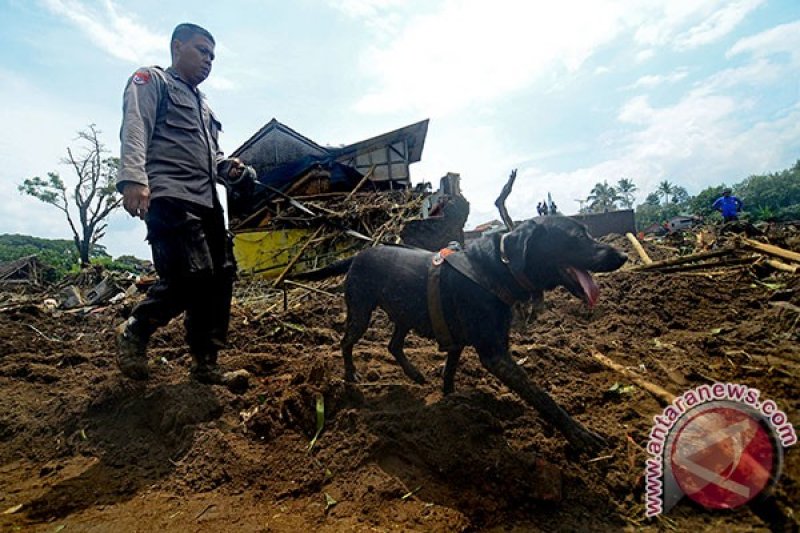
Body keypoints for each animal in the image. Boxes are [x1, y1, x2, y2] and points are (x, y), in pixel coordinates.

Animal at [294, 216, 624, 448]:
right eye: (577, 236)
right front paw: (579, 433)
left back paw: (414, 373)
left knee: (393, 344)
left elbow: (449, 374)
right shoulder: (495, 355)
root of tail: (358, 255)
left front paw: (452, 402)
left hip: (405, 312)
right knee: (346, 341)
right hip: (361, 313)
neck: (498, 267)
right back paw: (351, 374)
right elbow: (541, 396)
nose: (622, 256)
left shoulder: (457, 343)